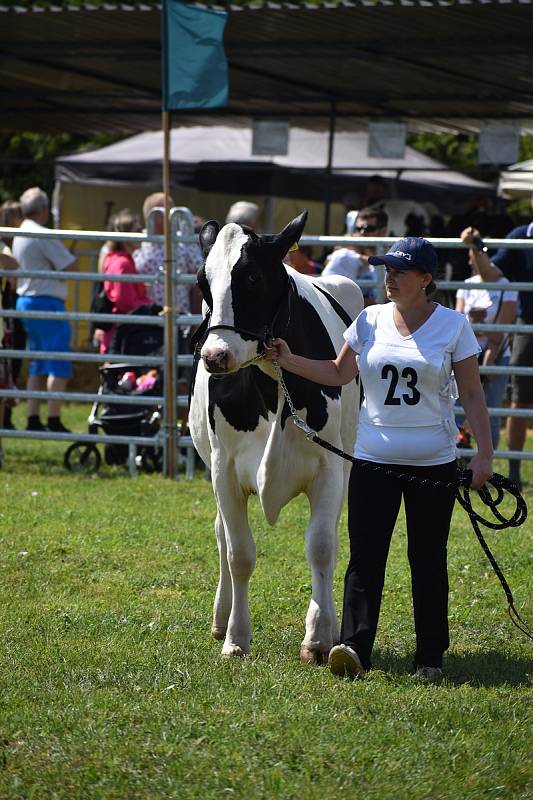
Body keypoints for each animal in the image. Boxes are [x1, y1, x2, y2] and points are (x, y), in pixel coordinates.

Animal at [188, 211, 362, 664]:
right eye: (202, 281)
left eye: (251, 277)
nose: (214, 356)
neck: (272, 382)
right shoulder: (223, 470)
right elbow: (239, 553)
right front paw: (235, 637)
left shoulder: (329, 467)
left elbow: (322, 546)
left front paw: (318, 636)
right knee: (220, 535)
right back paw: (220, 617)